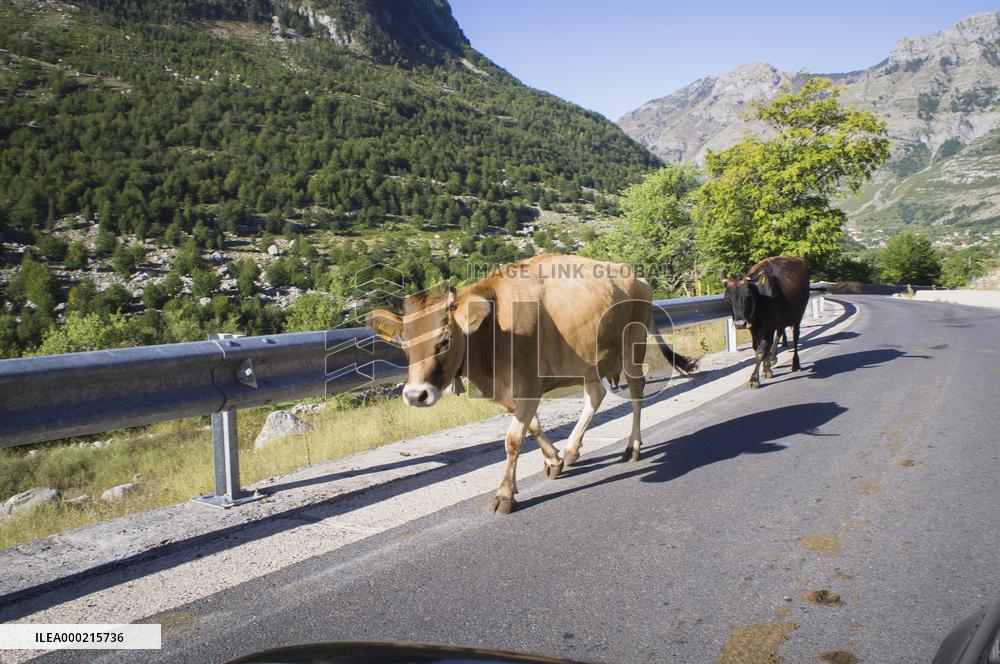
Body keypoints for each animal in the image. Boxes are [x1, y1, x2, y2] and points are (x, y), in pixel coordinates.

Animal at [366, 254, 697, 514]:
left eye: (444, 340)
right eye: (404, 345)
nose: (415, 395)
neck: (494, 330)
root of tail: (636, 277)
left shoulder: (527, 385)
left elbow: (513, 440)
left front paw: (505, 495)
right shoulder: (512, 390)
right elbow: (533, 426)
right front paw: (554, 459)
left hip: (632, 346)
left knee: (637, 393)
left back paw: (633, 448)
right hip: (589, 358)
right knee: (595, 394)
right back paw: (573, 450)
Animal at [722, 256, 809, 389]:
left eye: (748, 296)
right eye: (727, 299)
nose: (740, 324)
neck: (760, 297)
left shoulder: (768, 326)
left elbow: (761, 351)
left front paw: (754, 379)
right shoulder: (754, 327)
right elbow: (758, 347)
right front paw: (766, 369)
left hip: (797, 316)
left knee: (795, 337)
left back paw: (795, 364)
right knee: (779, 333)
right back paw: (773, 358)